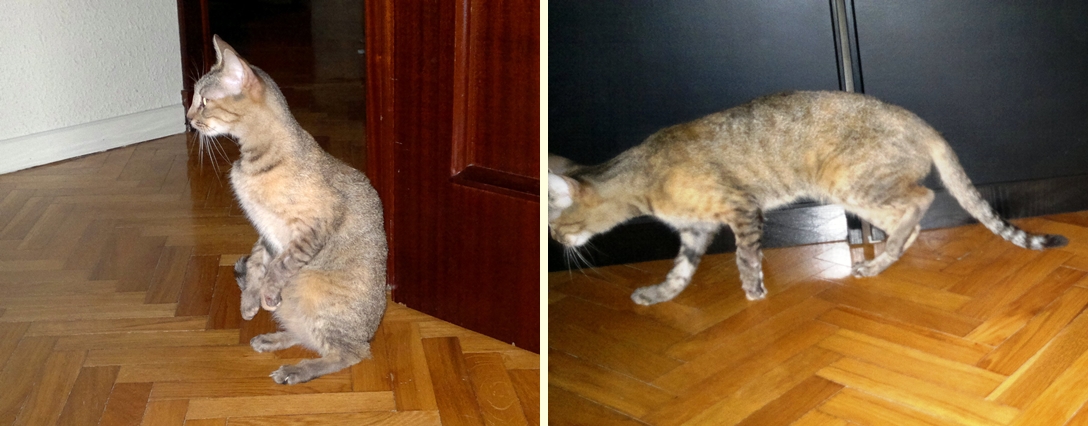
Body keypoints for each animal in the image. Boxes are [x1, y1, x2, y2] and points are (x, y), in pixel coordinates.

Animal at [186, 35, 388, 384]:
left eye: (204, 101)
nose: (186, 117)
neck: (251, 161)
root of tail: (369, 332)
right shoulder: (266, 231)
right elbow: (257, 262)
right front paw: (250, 301)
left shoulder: (310, 228)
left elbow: (280, 265)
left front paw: (265, 292)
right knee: (307, 335)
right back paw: (270, 339)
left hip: (316, 295)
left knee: (347, 353)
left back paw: (296, 369)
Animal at [549, 90, 1068, 305]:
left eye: (555, 227)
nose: (556, 245)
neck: (643, 173)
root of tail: (920, 122)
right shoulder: (696, 231)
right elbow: (679, 273)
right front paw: (658, 294)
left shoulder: (741, 208)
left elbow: (745, 257)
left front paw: (754, 290)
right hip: (860, 194)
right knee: (911, 220)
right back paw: (886, 258)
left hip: (851, 182)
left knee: (920, 200)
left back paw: (880, 258)